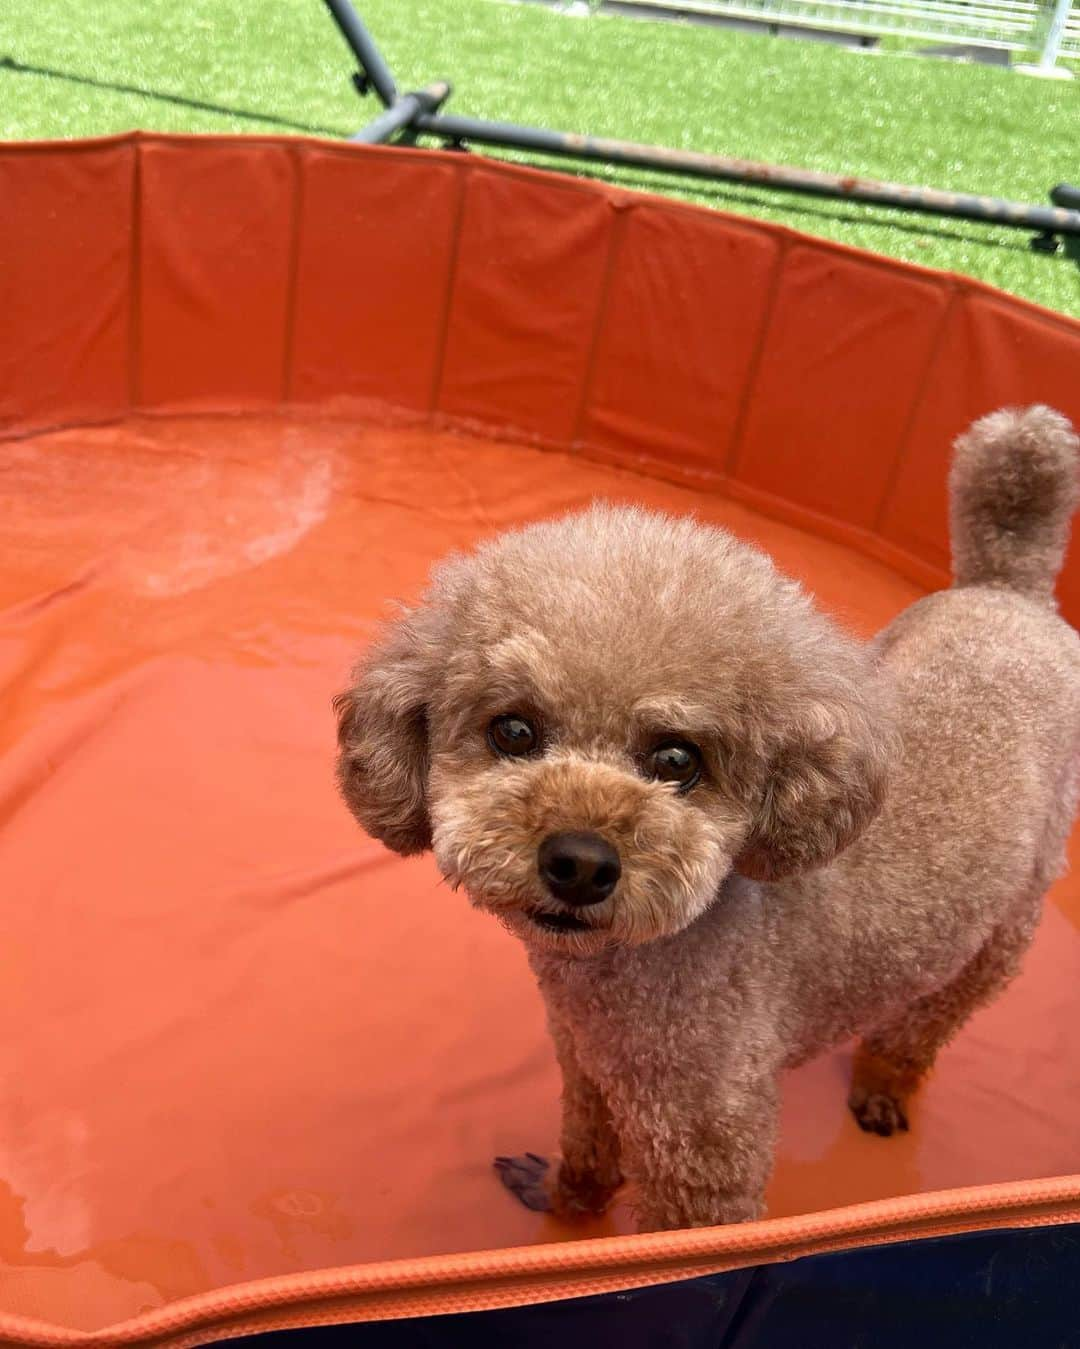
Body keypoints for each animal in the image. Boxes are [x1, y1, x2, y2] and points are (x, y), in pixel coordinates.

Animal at [333, 402, 1073, 1235]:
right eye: (513, 730)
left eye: (678, 758)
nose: (580, 861)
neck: (625, 967)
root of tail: (1011, 586)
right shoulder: (592, 1068)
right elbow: (588, 1153)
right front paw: (566, 1210)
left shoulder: (705, 1150)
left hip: (1006, 922)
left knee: (936, 1011)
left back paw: (885, 1078)